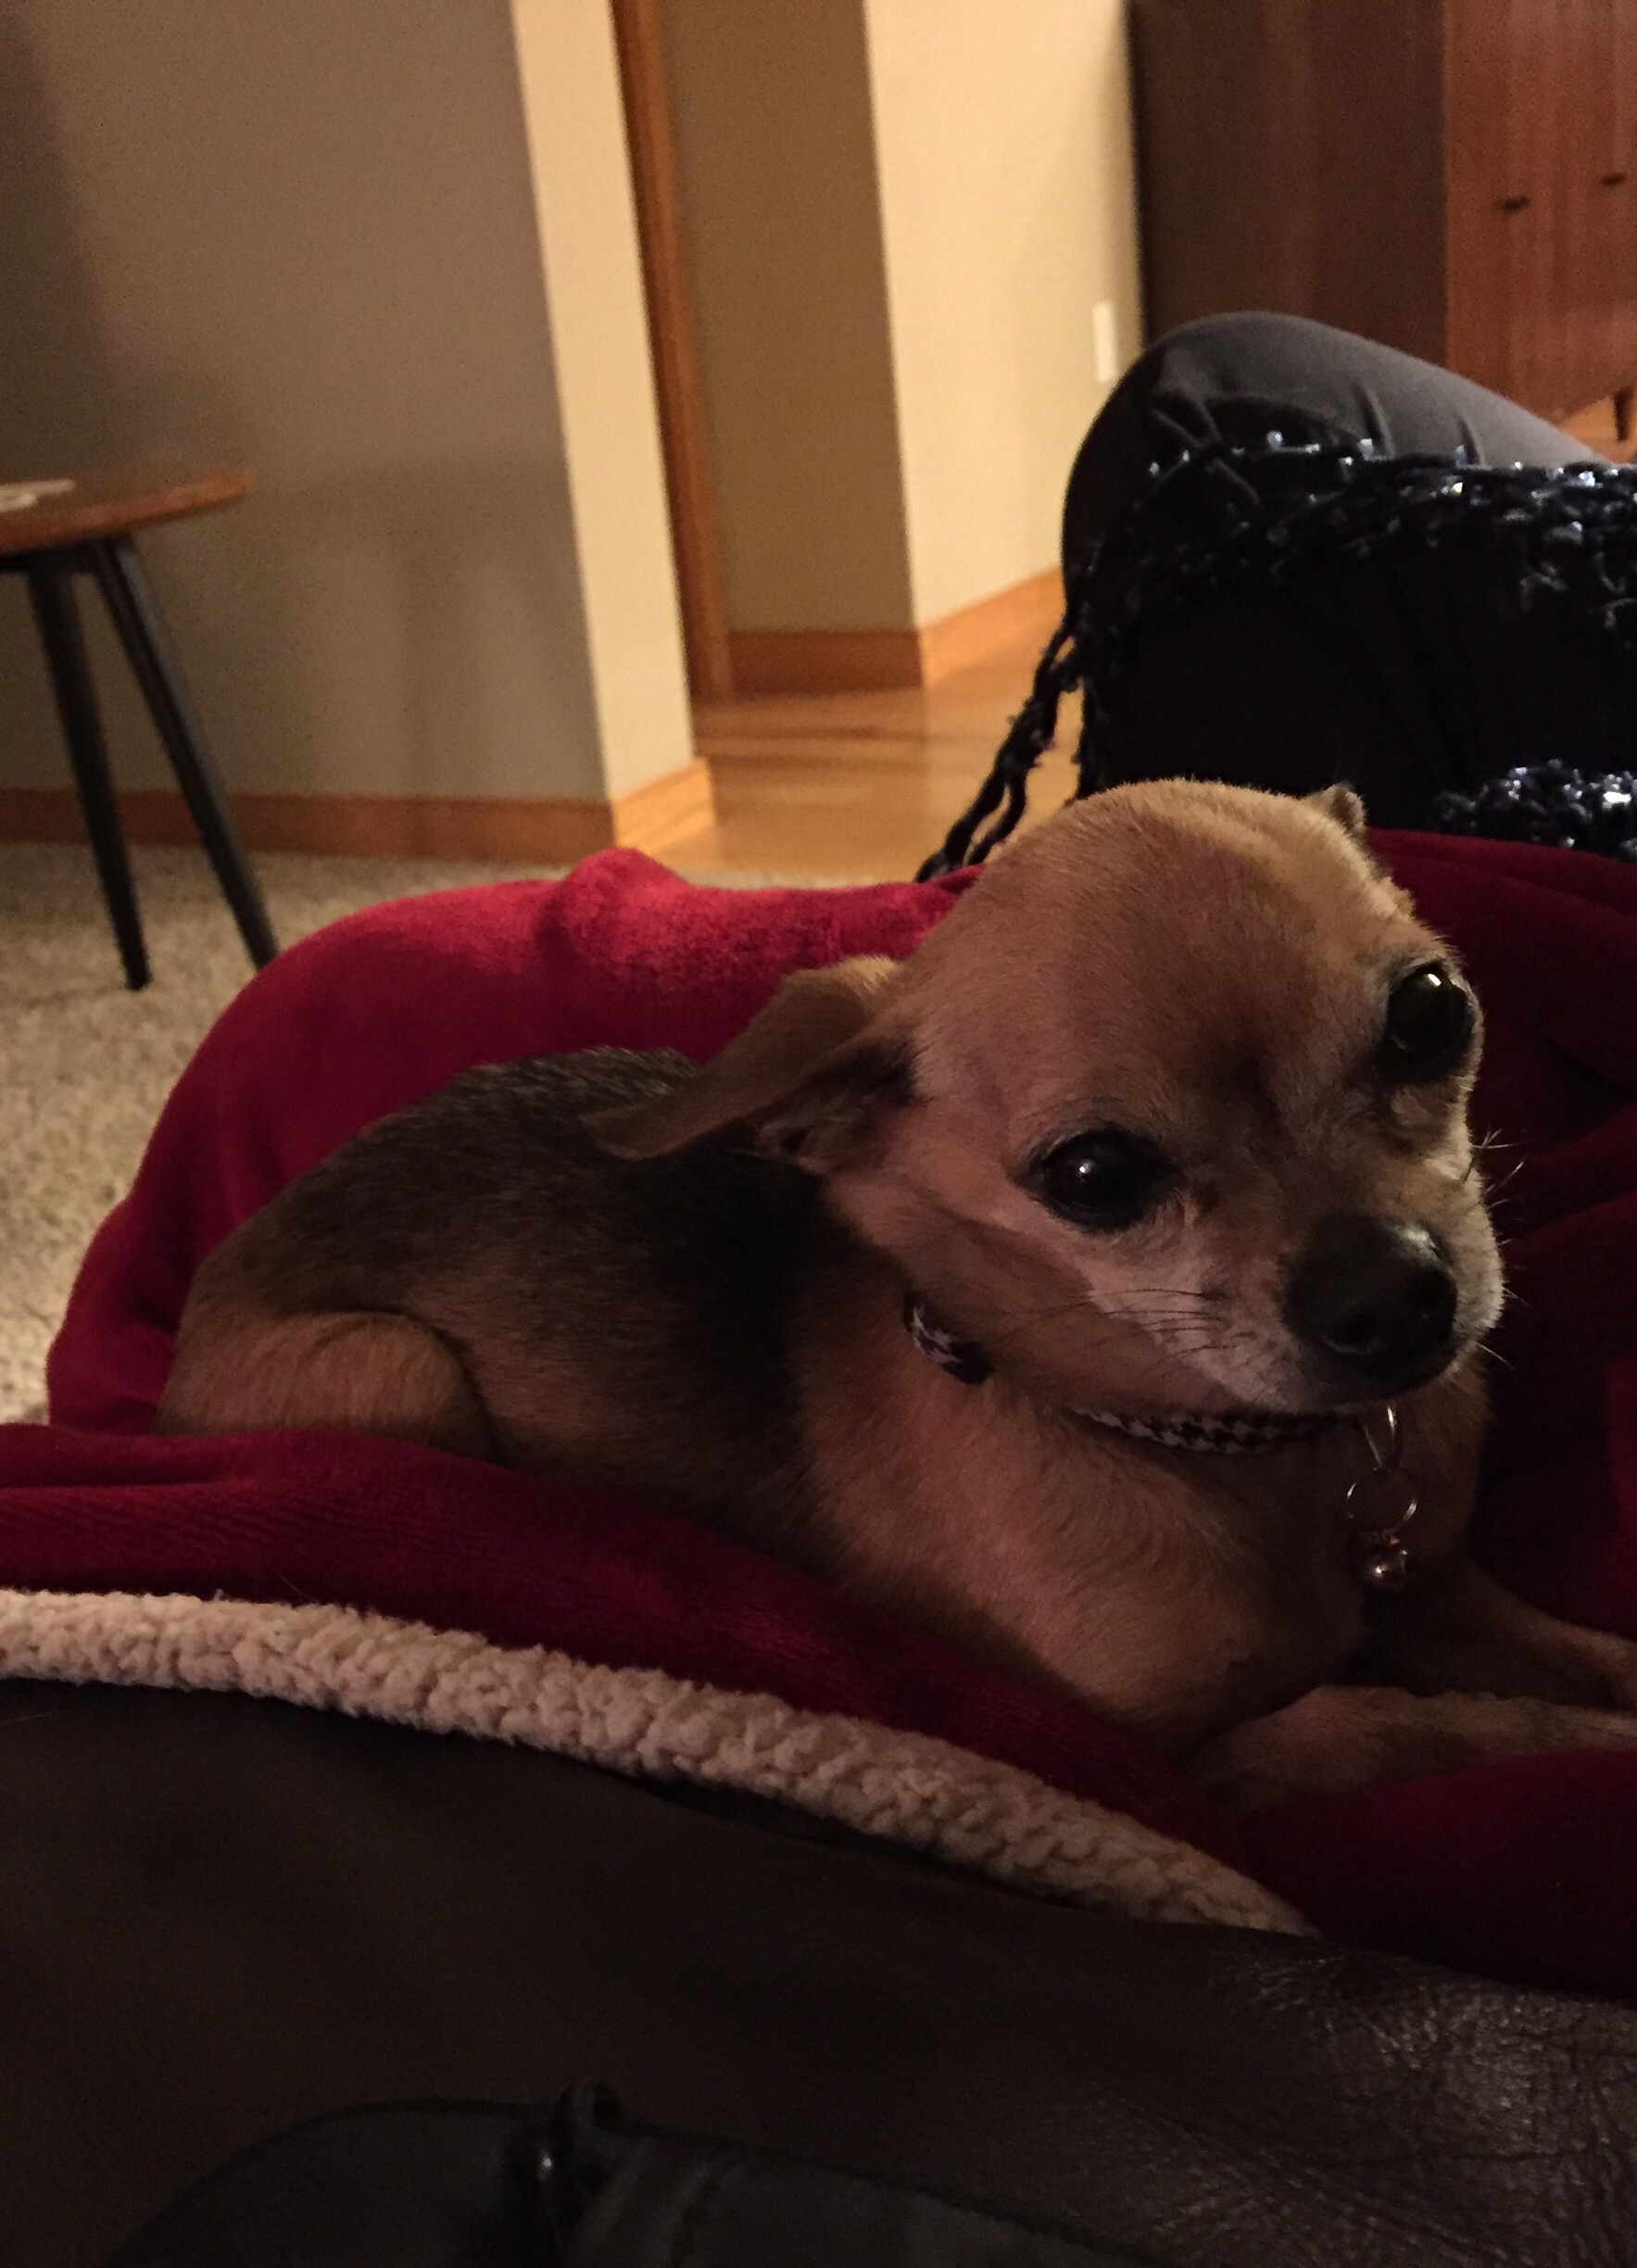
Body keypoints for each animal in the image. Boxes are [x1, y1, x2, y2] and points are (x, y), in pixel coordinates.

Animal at [156, 780, 1637, 1810]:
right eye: (1094, 1176)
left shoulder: (1439, 1586)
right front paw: (1574, 1748)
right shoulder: (1185, 1760)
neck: (1247, 1463)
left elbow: (1565, 1650)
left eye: (1432, 1012)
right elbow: (1389, 1721)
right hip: (398, 1373)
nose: (1393, 1300)